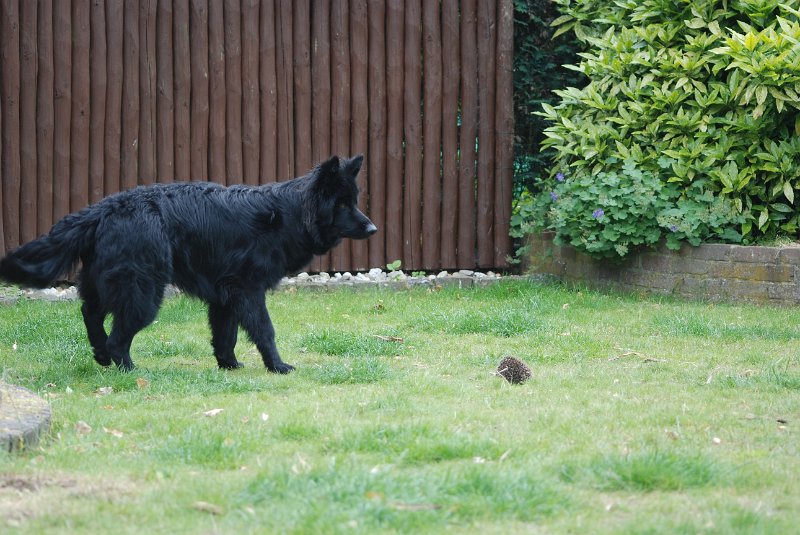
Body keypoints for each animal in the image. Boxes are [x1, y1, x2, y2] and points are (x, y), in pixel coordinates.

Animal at [0, 155, 376, 372]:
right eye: (343, 205)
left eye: (355, 201)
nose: (372, 228)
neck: (289, 214)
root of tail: (105, 208)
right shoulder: (247, 291)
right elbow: (264, 331)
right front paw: (278, 366)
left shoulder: (224, 297)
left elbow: (225, 336)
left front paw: (229, 366)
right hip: (143, 293)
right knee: (118, 336)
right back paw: (127, 368)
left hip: (104, 283)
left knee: (91, 315)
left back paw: (102, 356)